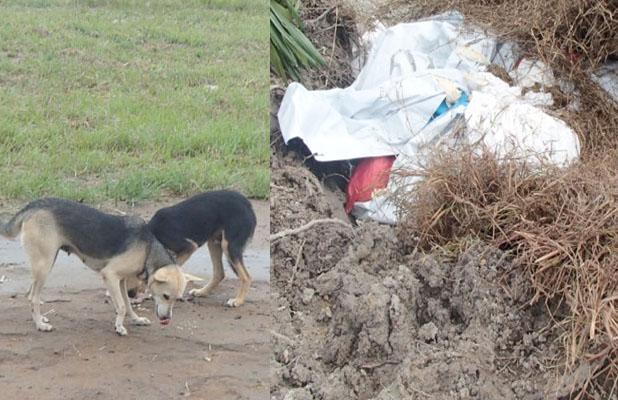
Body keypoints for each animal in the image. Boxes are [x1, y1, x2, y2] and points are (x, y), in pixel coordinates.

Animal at [0, 199, 199, 334]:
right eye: (165, 296)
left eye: (176, 299)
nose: (166, 319)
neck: (148, 249)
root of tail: (33, 205)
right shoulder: (110, 275)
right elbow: (121, 306)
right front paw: (119, 327)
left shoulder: (121, 281)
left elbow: (127, 305)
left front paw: (135, 320)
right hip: (45, 265)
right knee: (33, 297)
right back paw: (40, 325)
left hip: (44, 263)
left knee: (30, 294)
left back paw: (40, 318)